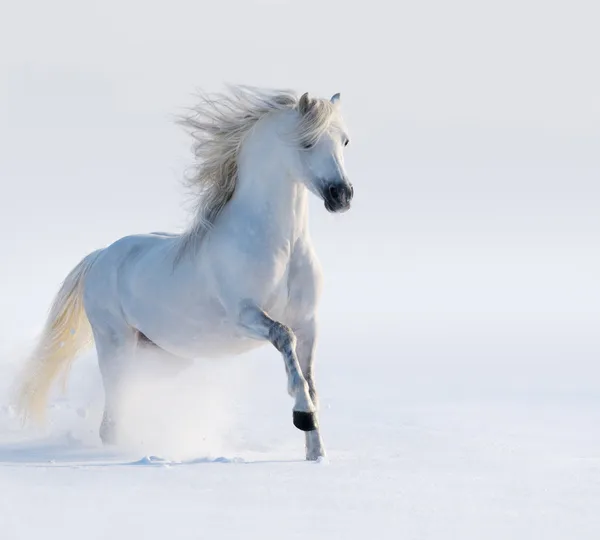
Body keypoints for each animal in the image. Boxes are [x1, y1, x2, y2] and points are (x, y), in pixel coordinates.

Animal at [16, 84, 352, 460]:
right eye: (307, 142)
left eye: (345, 141)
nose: (342, 195)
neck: (283, 246)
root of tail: (101, 255)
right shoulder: (245, 316)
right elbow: (285, 340)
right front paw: (302, 416)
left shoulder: (308, 322)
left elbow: (309, 378)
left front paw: (316, 452)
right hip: (115, 344)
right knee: (111, 417)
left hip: (163, 355)